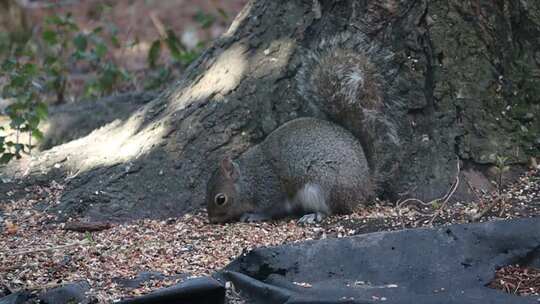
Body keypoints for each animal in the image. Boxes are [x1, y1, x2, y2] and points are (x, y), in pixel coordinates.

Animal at [205, 116, 374, 223]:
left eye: (220, 199)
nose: (212, 220)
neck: (250, 179)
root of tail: (364, 190)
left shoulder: (271, 192)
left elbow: (269, 210)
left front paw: (253, 216)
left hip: (322, 188)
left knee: (331, 210)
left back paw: (313, 216)